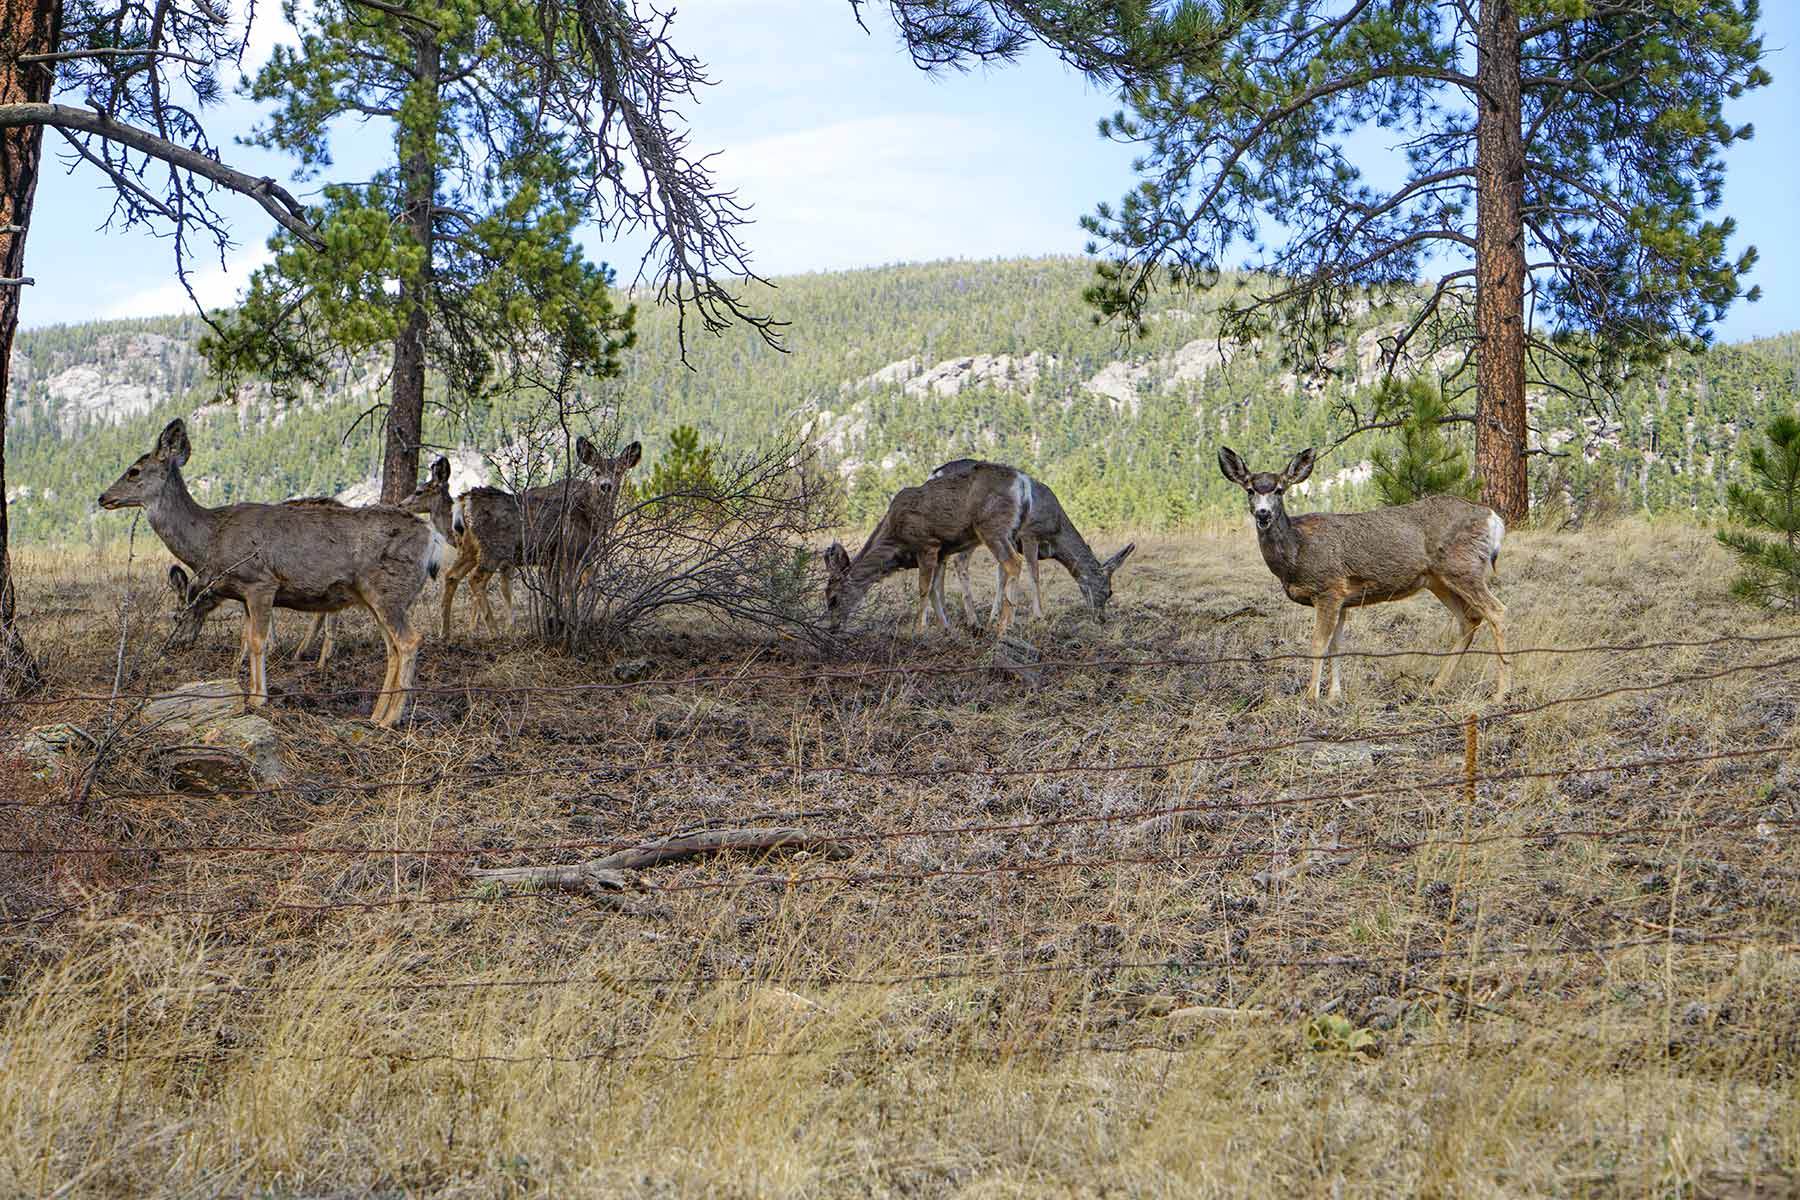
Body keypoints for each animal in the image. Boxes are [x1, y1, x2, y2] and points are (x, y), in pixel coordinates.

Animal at [436, 438, 641, 638]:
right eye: (597, 472)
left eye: (619, 472)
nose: (606, 486)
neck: (589, 516)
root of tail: (465, 500)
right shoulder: (569, 550)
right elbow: (570, 589)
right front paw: (571, 623)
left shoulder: (558, 558)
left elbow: (563, 588)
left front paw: (556, 620)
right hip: (493, 548)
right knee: (475, 580)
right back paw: (494, 632)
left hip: (469, 547)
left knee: (451, 575)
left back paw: (445, 632)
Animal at [823, 462, 1034, 640]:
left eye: (833, 599)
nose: (832, 629)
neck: (895, 542)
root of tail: (1021, 481)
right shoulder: (942, 552)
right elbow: (935, 590)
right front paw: (946, 629)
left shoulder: (926, 544)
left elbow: (924, 589)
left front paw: (918, 631)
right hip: (1011, 530)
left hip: (992, 527)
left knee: (1013, 563)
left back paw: (1003, 628)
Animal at [928, 458, 1135, 624]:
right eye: (1109, 591)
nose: (1101, 618)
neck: (1056, 532)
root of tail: (935, 473)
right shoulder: (1029, 534)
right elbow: (1034, 573)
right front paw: (1038, 616)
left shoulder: (1010, 539)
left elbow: (1001, 576)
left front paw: (995, 616)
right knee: (959, 562)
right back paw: (971, 619)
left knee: (942, 563)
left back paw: (943, 614)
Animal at [1217, 446, 1509, 702]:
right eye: (1250, 489)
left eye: (1279, 489)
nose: (1263, 513)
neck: (1296, 553)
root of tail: (1493, 518)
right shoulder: (1344, 599)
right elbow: (1337, 645)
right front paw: (1335, 695)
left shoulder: (1329, 588)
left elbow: (1319, 643)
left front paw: (1311, 697)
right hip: (1438, 580)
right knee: (1470, 619)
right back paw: (1436, 687)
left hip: (1462, 567)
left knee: (1497, 611)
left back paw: (1500, 694)